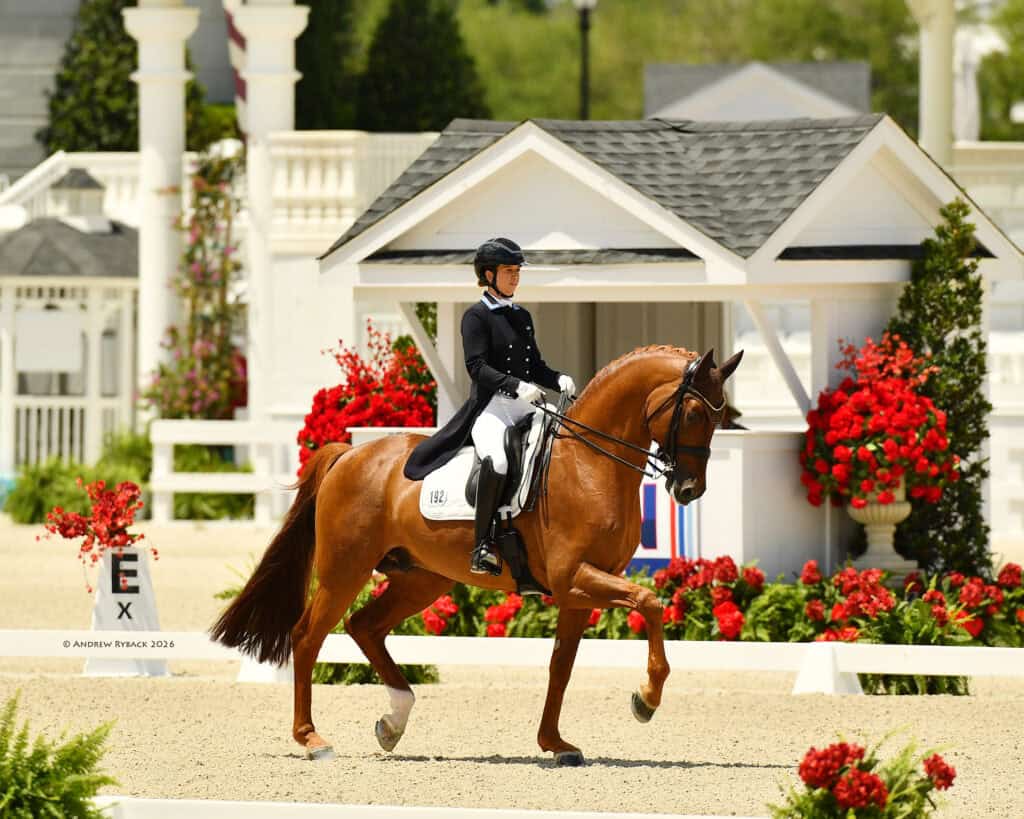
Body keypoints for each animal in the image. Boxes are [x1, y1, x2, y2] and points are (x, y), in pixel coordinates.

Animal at [211, 345, 742, 765]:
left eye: (721, 418)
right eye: (694, 414)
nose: (689, 490)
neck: (590, 464)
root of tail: (349, 454)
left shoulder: (579, 591)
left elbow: (561, 667)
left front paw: (555, 743)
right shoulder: (574, 577)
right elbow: (650, 603)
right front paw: (646, 698)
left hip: (422, 579)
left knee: (364, 626)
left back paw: (394, 720)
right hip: (346, 570)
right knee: (307, 637)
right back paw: (312, 739)